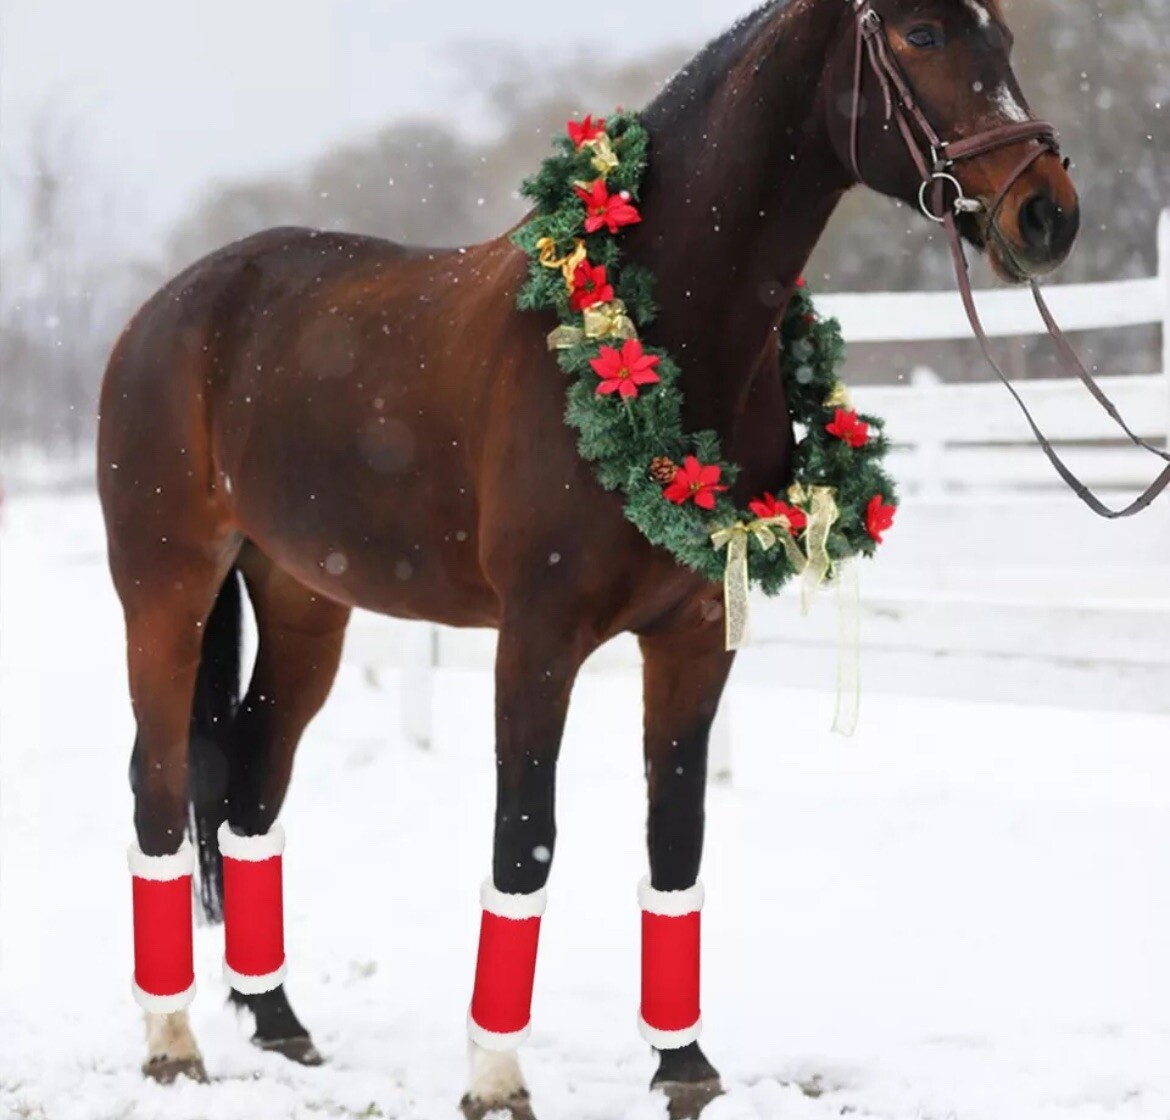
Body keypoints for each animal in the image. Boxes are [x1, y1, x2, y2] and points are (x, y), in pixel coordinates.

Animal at [98, 0, 1079, 1116]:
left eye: (1003, 34)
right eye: (921, 36)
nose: (1048, 214)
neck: (658, 324)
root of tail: (170, 306)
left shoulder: (694, 639)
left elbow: (676, 838)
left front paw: (684, 1067)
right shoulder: (537, 639)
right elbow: (524, 841)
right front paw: (495, 1076)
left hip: (304, 600)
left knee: (254, 784)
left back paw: (278, 1023)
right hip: (166, 585)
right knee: (159, 785)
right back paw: (172, 1040)